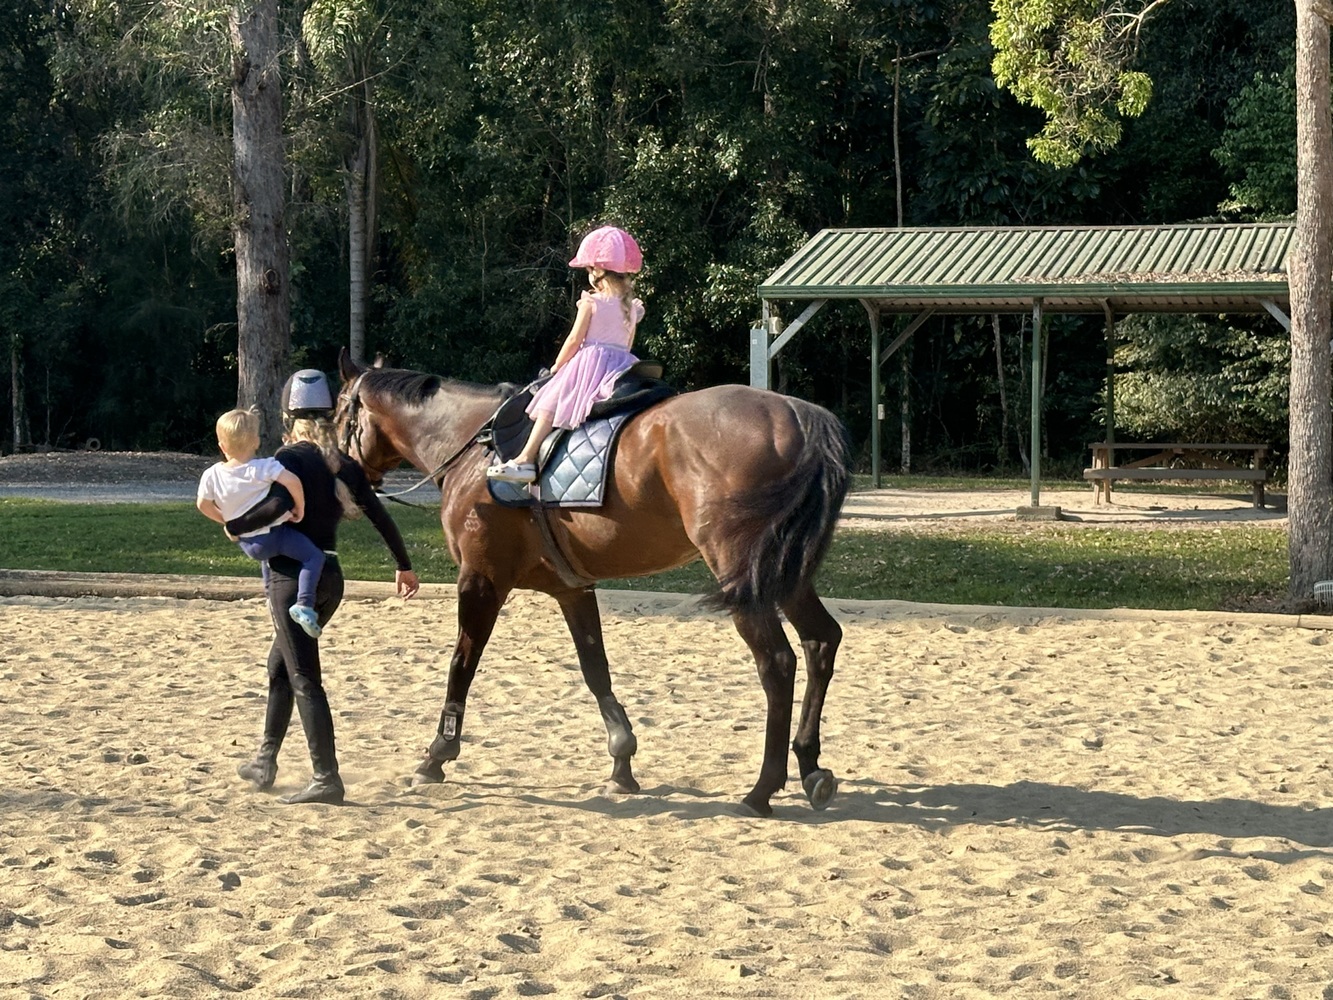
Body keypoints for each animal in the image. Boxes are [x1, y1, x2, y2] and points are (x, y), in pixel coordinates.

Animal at [335, 348, 851, 817]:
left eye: (340, 409)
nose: (344, 480)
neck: (472, 447)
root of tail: (796, 413)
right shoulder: (573, 588)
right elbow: (594, 668)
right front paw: (622, 760)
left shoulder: (481, 579)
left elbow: (462, 664)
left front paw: (437, 754)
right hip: (784, 574)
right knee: (821, 641)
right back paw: (810, 767)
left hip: (742, 573)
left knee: (777, 663)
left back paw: (763, 787)